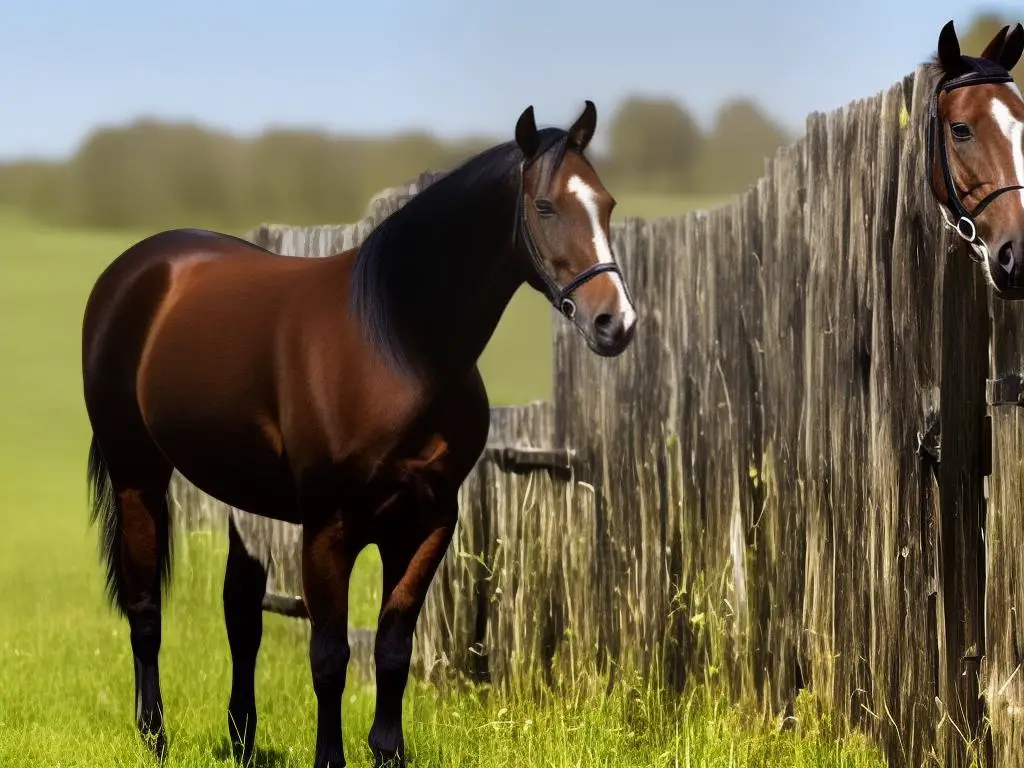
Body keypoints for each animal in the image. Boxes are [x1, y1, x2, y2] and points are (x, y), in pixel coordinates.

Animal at [81, 99, 638, 765]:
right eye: (546, 206)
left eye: (606, 203)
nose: (615, 323)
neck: (394, 345)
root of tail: (136, 268)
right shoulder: (329, 527)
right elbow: (330, 656)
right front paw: (331, 757)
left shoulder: (427, 524)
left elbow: (393, 649)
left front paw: (388, 751)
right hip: (136, 473)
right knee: (145, 606)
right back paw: (154, 736)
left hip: (240, 495)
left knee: (241, 613)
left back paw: (241, 738)